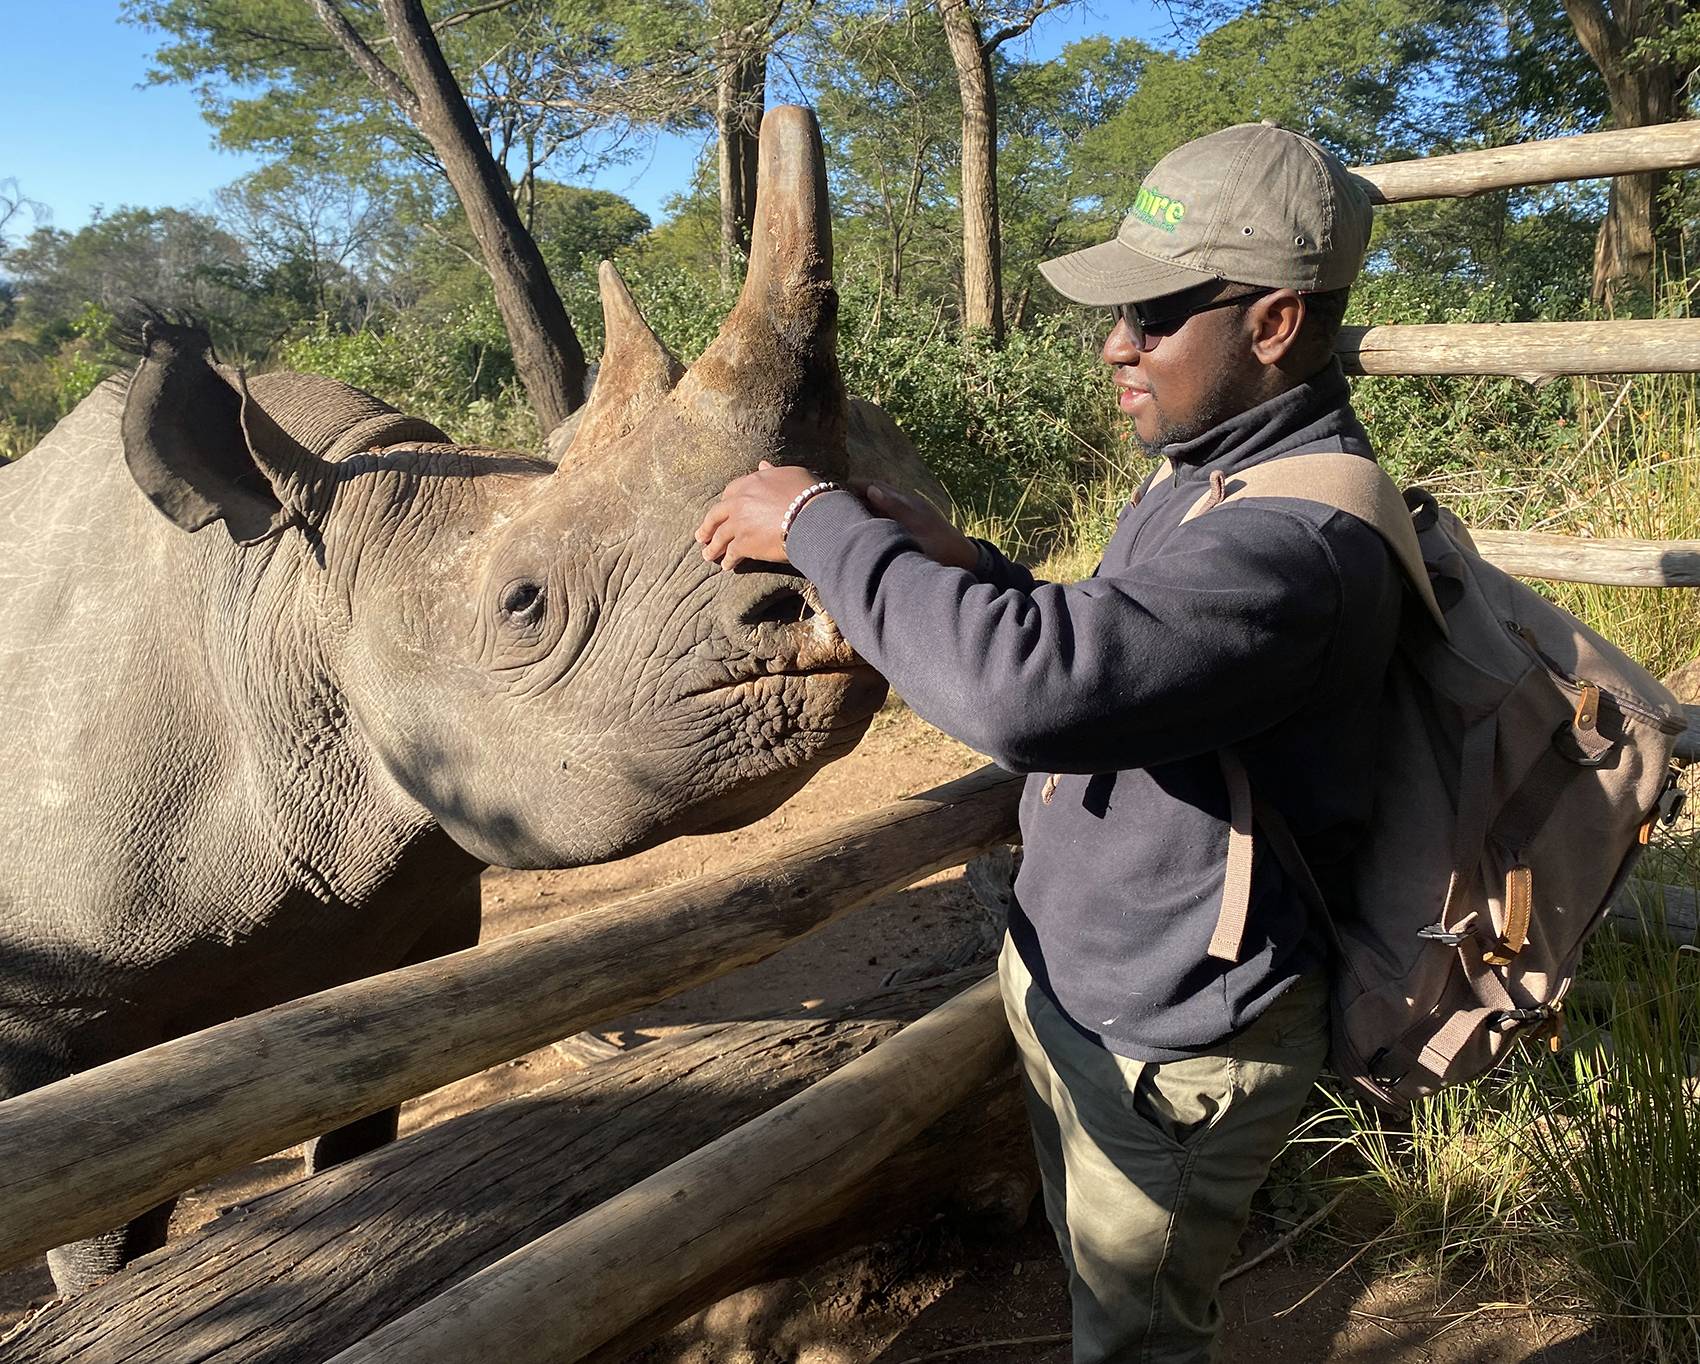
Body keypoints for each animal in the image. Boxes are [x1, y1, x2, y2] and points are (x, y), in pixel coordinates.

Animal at [0, 107, 939, 1293]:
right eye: (522, 603)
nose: (816, 608)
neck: (277, 599)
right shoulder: (60, 1014)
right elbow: (104, 1235)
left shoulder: (403, 928)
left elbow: (362, 1128)